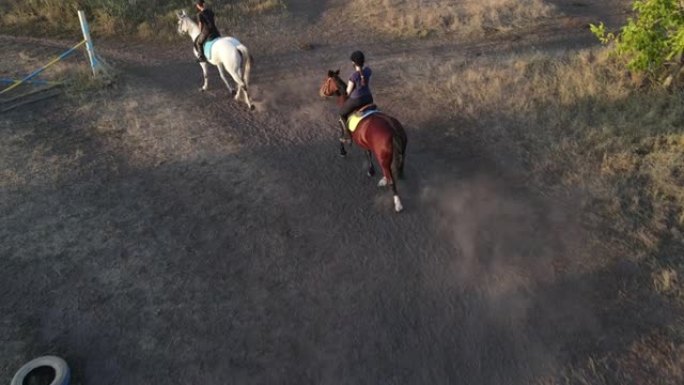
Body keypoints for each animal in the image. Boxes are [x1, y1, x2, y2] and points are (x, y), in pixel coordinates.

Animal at [320, 69, 408, 213]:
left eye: (327, 81)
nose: (321, 92)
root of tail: (392, 127)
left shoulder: (342, 126)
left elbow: (341, 139)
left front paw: (343, 152)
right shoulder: (366, 143)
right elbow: (367, 154)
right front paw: (371, 170)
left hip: (383, 158)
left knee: (391, 180)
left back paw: (398, 204)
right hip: (396, 154)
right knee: (391, 171)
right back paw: (384, 179)